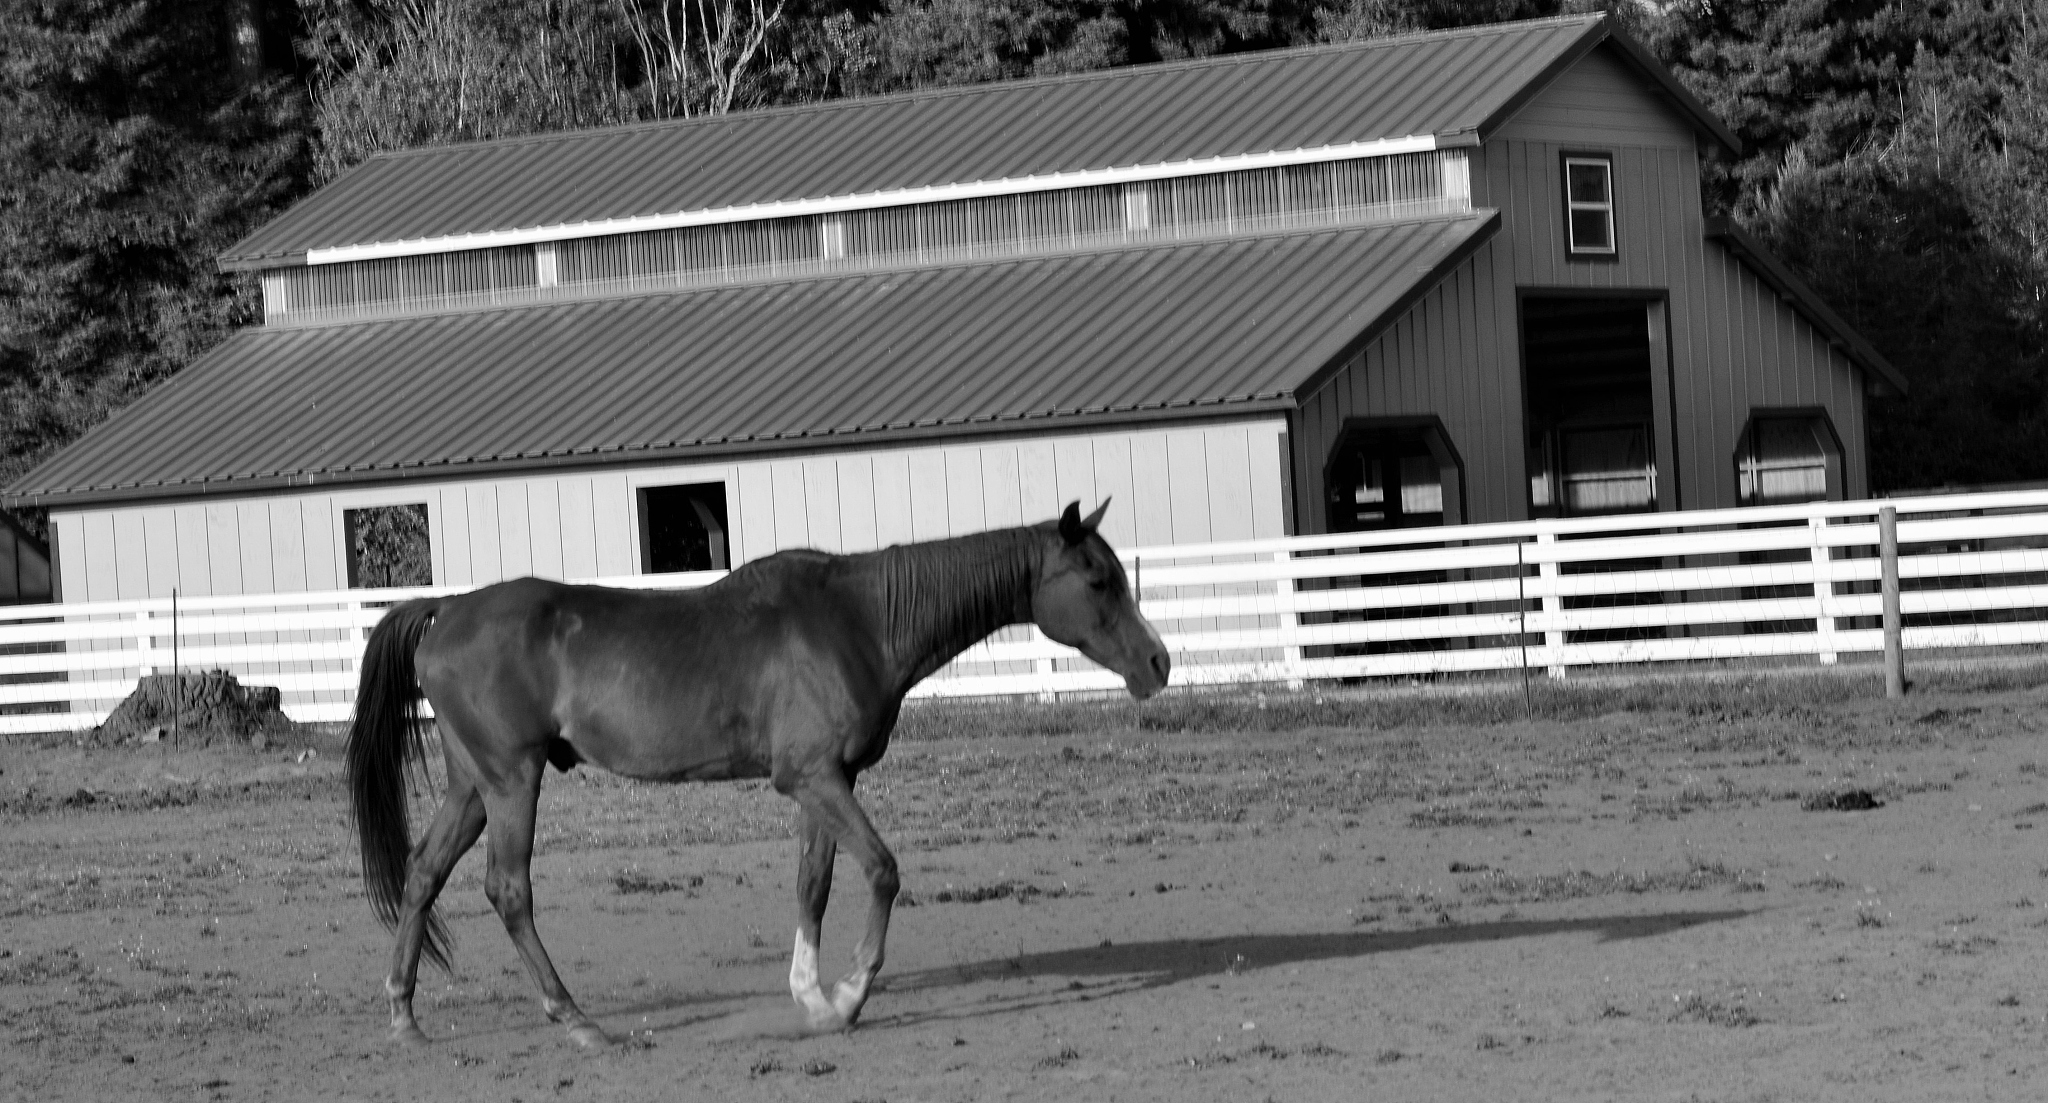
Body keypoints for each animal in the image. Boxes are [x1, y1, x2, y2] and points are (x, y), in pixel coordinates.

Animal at [345, 500, 1169, 1046]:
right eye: (1097, 580)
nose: (1159, 662)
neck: (859, 618)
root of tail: (448, 609)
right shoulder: (812, 779)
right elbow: (883, 871)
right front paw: (847, 996)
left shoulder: (828, 782)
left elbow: (815, 884)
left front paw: (810, 993)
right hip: (512, 782)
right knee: (508, 890)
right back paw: (576, 1020)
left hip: (472, 786)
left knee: (423, 874)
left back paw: (404, 1014)